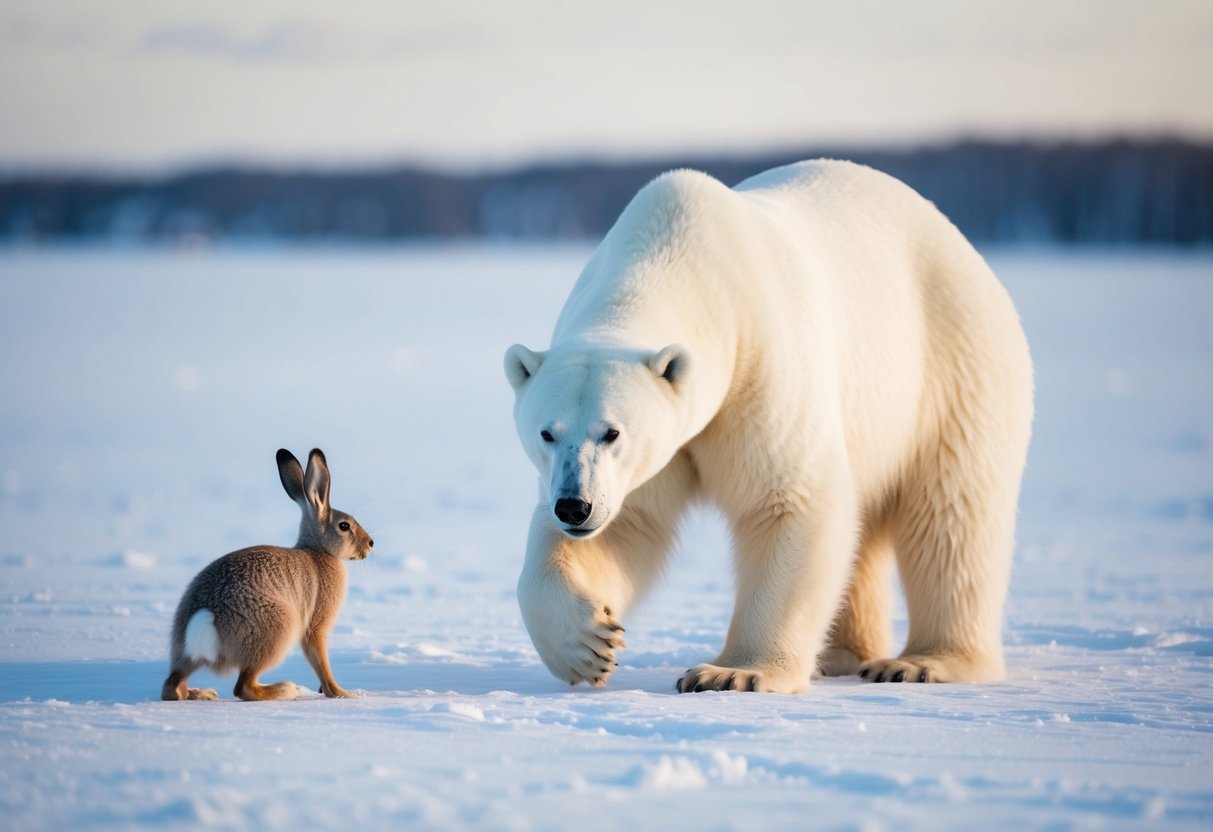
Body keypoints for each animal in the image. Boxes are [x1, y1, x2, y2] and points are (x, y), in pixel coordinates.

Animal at [161, 448, 373, 702]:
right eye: (344, 526)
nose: (371, 544)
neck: (319, 549)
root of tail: (204, 618)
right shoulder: (315, 626)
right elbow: (321, 663)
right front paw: (343, 693)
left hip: (186, 651)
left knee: (173, 686)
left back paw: (204, 694)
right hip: (277, 628)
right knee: (243, 686)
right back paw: (287, 689)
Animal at [503, 159, 1033, 694]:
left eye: (612, 432)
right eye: (547, 433)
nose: (574, 506)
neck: (674, 256)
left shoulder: (762, 367)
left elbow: (788, 500)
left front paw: (733, 672)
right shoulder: (653, 460)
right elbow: (626, 523)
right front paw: (588, 645)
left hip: (954, 363)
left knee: (952, 515)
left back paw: (923, 661)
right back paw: (842, 654)